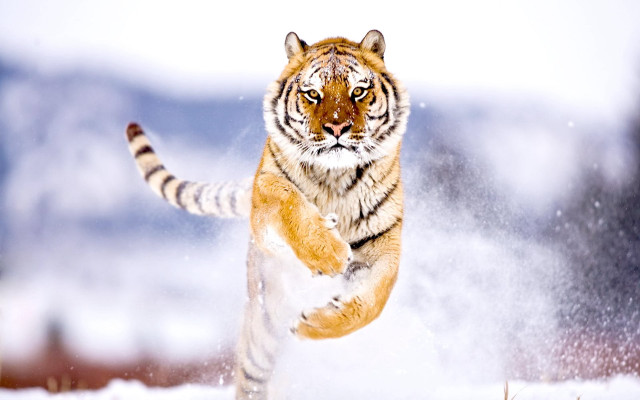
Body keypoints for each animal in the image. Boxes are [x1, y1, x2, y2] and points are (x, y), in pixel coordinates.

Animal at [125, 30, 409, 399]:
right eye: (313, 94)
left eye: (358, 91)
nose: (337, 128)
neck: (335, 177)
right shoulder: (265, 200)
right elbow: (287, 201)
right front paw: (329, 252)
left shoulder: (383, 244)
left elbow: (372, 303)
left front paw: (314, 323)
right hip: (263, 325)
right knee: (251, 376)